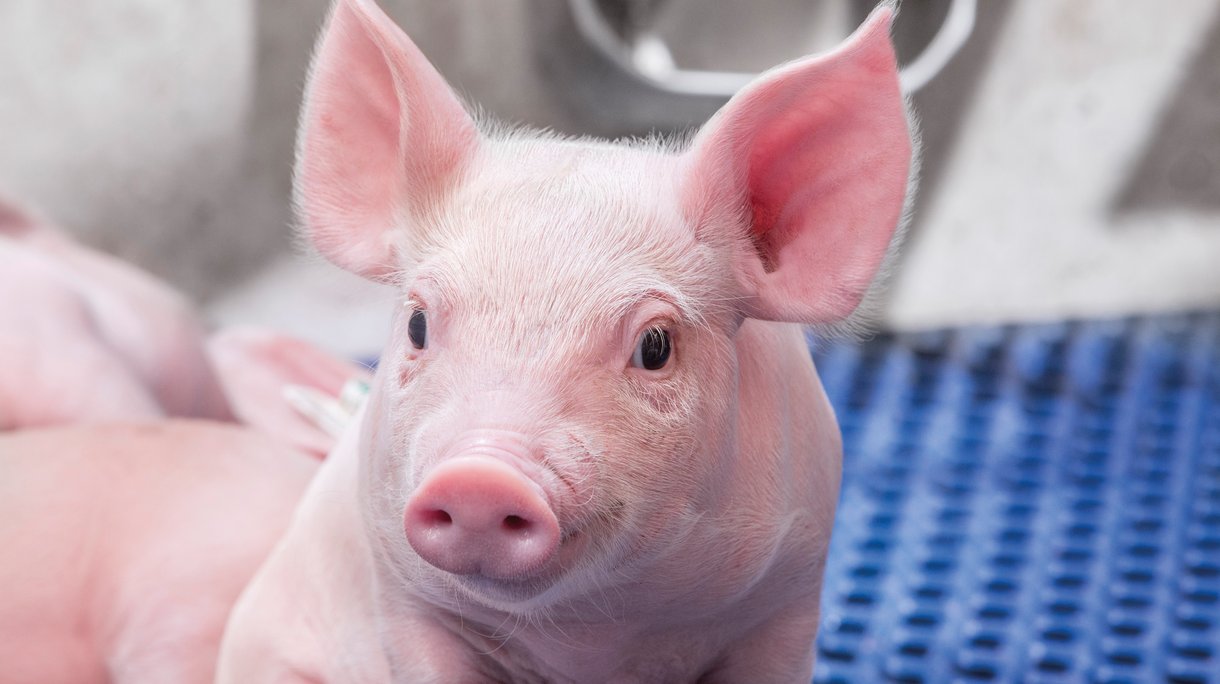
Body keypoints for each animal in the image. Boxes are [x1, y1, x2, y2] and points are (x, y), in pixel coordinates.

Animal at [218, 0, 913, 681]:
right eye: (417, 323)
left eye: (655, 345)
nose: (480, 477)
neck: (589, 640)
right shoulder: (407, 602)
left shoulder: (789, 596)